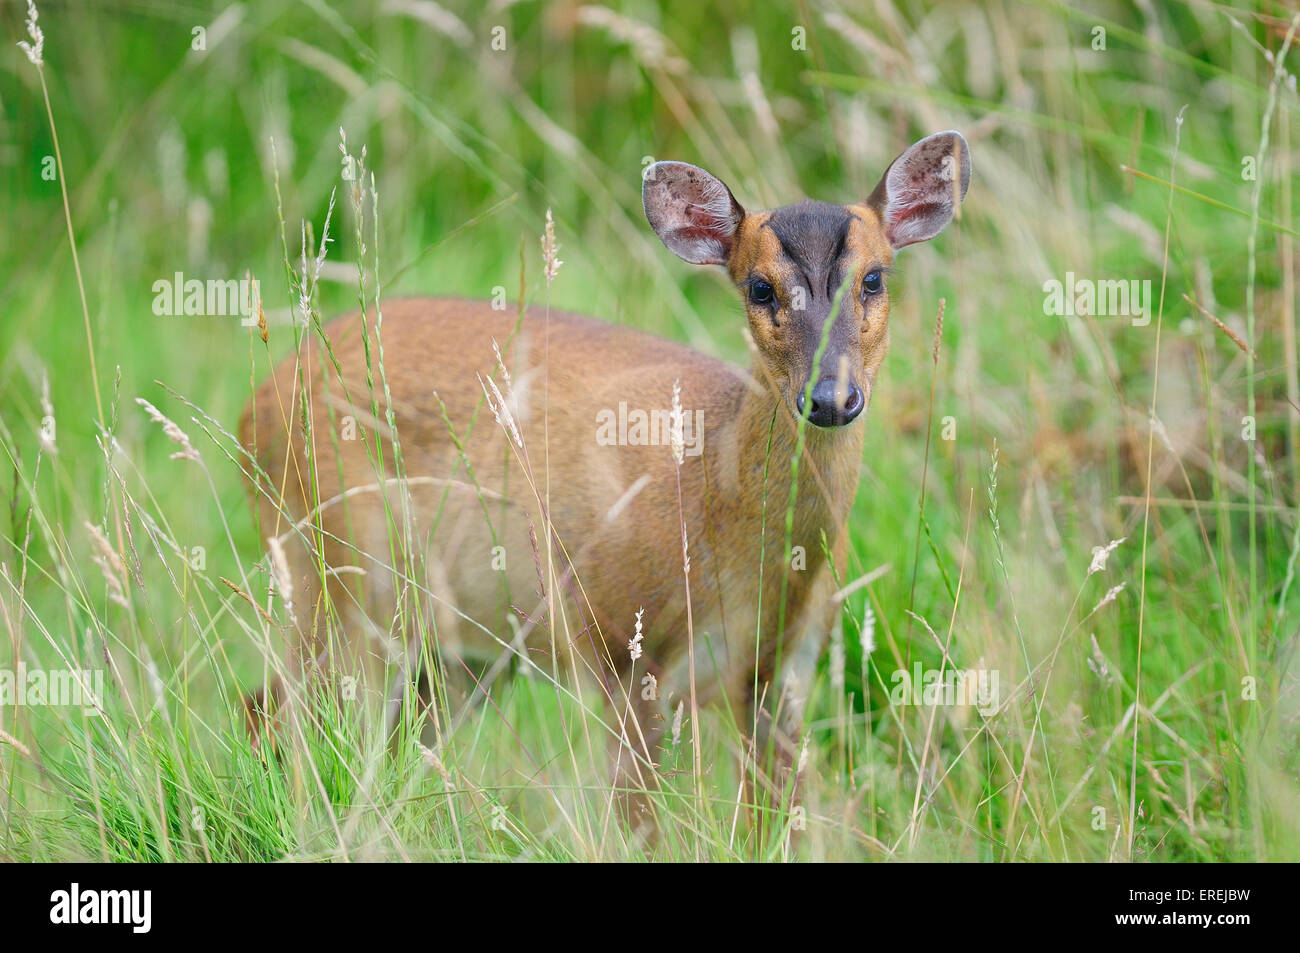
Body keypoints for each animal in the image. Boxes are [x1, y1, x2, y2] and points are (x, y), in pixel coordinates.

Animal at [244, 126, 972, 811]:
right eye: (759, 287)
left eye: (874, 278)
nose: (829, 398)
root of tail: (259, 401)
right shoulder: (623, 647)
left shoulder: (787, 673)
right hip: (335, 572)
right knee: (280, 713)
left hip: (458, 649)